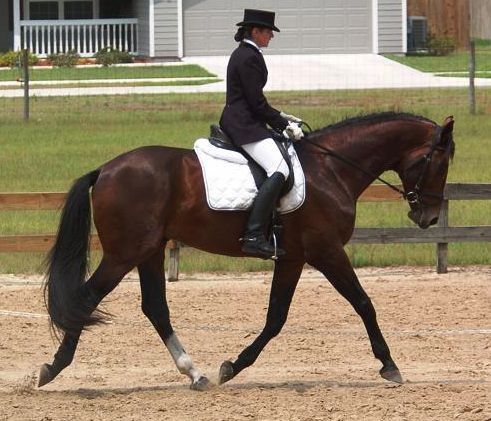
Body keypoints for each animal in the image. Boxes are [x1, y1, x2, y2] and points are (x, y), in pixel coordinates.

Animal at [39, 110, 458, 388]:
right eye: (439, 162)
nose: (429, 217)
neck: (331, 170)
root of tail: (105, 170)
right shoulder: (326, 251)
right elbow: (363, 302)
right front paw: (389, 364)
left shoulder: (293, 257)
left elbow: (276, 317)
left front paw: (233, 366)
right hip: (124, 253)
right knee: (87, 298)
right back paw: (53, 368)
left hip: (149, 251)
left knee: (155, 307)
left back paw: (195, 373)